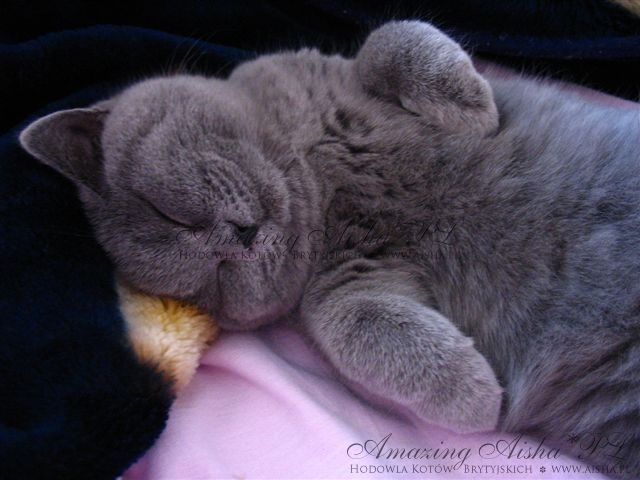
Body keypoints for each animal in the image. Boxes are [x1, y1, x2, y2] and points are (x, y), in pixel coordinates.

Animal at [20, 20, 640, 477]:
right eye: (213, 279)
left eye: (166, 210)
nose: (234, 239)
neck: (321, 187)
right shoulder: (341, 284)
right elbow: (351, 324)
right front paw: (477, 396)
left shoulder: (330, 67)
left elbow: (391, 37)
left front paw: (475, 106)